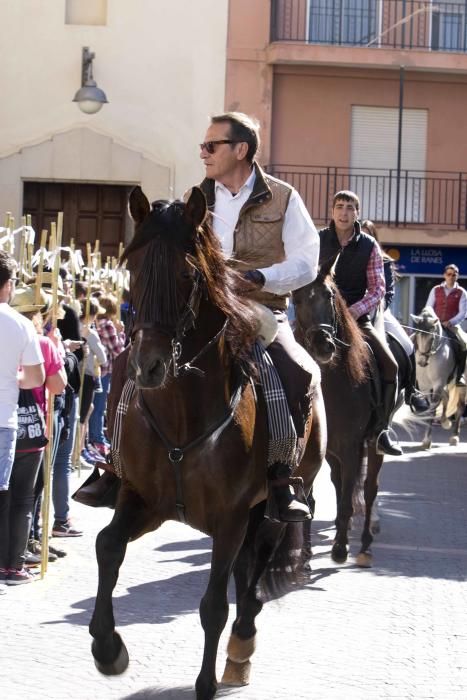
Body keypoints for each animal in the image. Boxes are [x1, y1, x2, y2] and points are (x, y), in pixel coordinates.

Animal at [89, 186, 328, 700]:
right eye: (133, 269)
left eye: (188, 275)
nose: (149, 366)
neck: (181, 415)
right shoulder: (144, 500)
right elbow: (107, 546)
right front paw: (108, 648)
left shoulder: (230, 517)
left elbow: (214, 605)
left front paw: (205, 683)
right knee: (245, 571)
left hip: (272, 507)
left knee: (254, 572)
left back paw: (240, 650)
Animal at [294, 258, 386, 568]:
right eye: (296, 299)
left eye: (330, 295)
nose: (323, 344)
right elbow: (309, 501)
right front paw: (305, 555)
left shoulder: (350, 447)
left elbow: (348, 499)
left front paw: (340, 548)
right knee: (339, 483)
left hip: (372, 445)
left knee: (369, 490)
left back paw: (365, 545)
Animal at [412, 308, 466, 448]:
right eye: (417, 335)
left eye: (432, 338)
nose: (421, 362)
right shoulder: (425, 386)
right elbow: (432, 405)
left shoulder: (438, 383)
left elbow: (432, 408)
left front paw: (427, 440)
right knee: (446, 398)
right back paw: (444, 421)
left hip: (461, 386)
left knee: (460, 406)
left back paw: (454, 436)